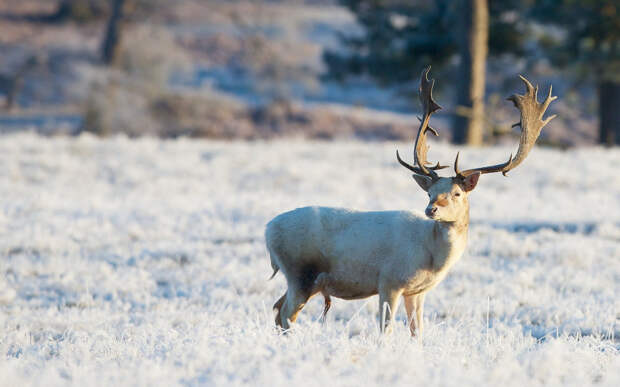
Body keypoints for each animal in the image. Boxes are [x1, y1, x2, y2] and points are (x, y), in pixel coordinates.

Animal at [266, 66, 556, 336]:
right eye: (429, 192)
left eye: (457, 193)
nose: (431, 209)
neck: (431, 256)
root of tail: (268, 231)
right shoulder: (389, 280)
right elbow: (386, 329)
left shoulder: (417, 291)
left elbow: (418, 331)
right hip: (300, 271)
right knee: (286, 314)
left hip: (305, 279)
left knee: (277, 309)